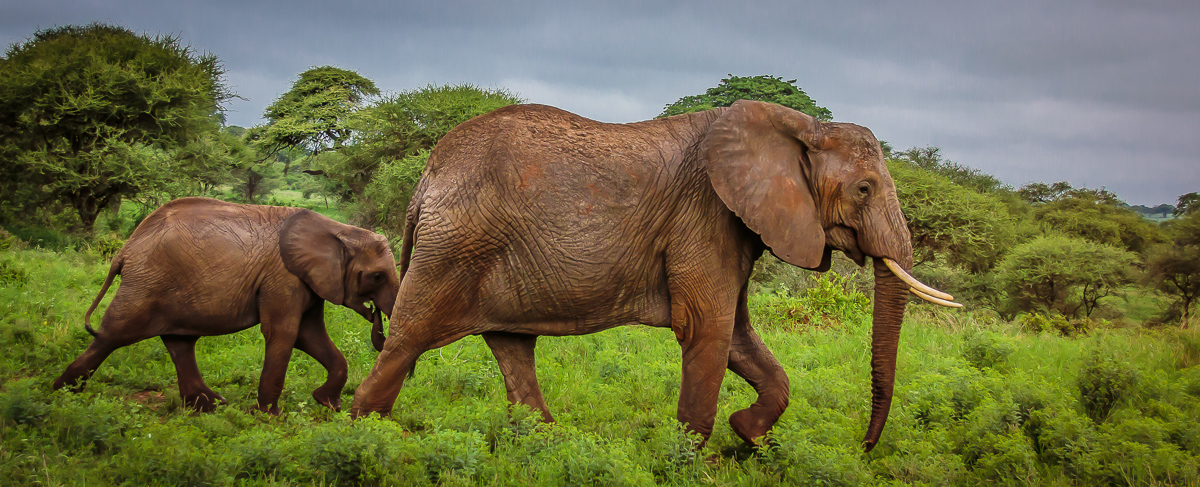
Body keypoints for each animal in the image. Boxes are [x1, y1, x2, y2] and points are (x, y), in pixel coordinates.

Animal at [52, 197, 398, 415]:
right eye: (377, 276)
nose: (379, 330)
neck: (339, 229)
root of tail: (125, 250)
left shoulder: (306, 281)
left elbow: (308, 335)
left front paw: (327, 404)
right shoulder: (282, 277)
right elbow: (284, 333)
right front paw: (268, 416)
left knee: (179, 342)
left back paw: (210, 406)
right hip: (145, 284)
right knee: (113, 335)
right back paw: (59, 396)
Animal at [350, 100, 960, 451]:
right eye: (864, 189)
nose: (865, 447)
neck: (800, 128)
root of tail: (428, 176)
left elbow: (737, 337)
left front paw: (747, 433)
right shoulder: (705, 216)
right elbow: (708, 331)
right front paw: (690, 458)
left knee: (511, 345)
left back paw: (547, 445)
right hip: (454, 246)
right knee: (405, 343)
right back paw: (359, 437)